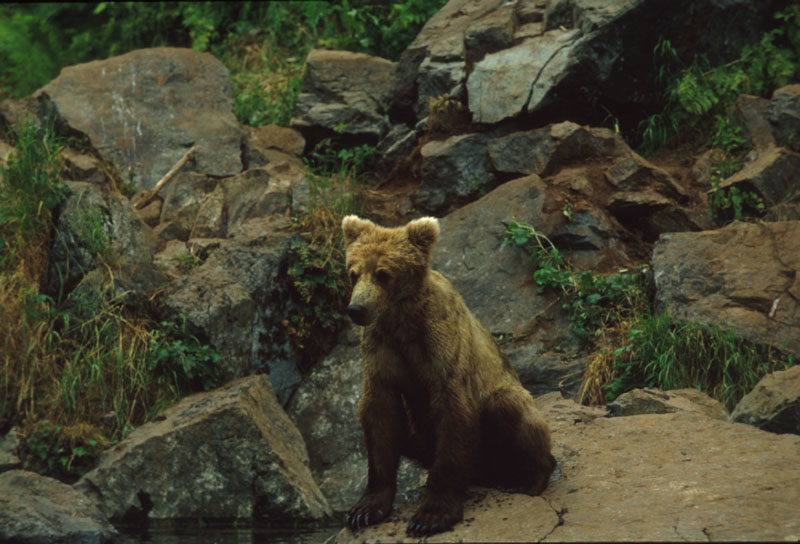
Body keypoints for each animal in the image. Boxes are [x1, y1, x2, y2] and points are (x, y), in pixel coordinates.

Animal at [340, 215, 556, 536]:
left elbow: (453, 413)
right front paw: (364, 510)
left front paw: (430, 516)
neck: (402, 321)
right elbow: (380, 417)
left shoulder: (441, 347)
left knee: (510, 406)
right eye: (353, 273)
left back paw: (529, 478)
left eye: (383, 274)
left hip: (504, 407)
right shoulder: (381, 351)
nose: (357, 309)